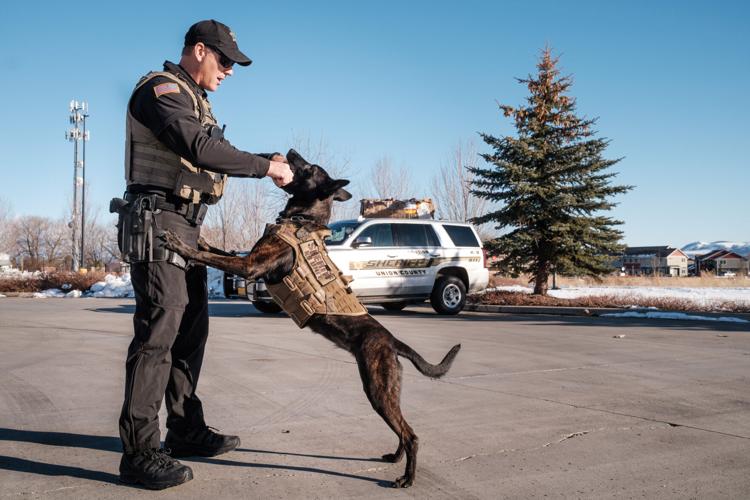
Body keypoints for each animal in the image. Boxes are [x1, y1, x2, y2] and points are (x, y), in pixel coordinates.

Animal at [162, 149, 462, 488]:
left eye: (309, 168)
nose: (290, 152)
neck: (302, 220)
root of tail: (392, 340)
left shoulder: (250, 266)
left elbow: (213, 256)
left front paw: (179, 244)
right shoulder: (247, 259)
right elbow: (218, 250)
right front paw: (199, 240)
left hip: (377, 389)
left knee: (411, 435)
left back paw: (406, 477)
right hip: (389, 390)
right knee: (402, 428)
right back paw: (395, 457)